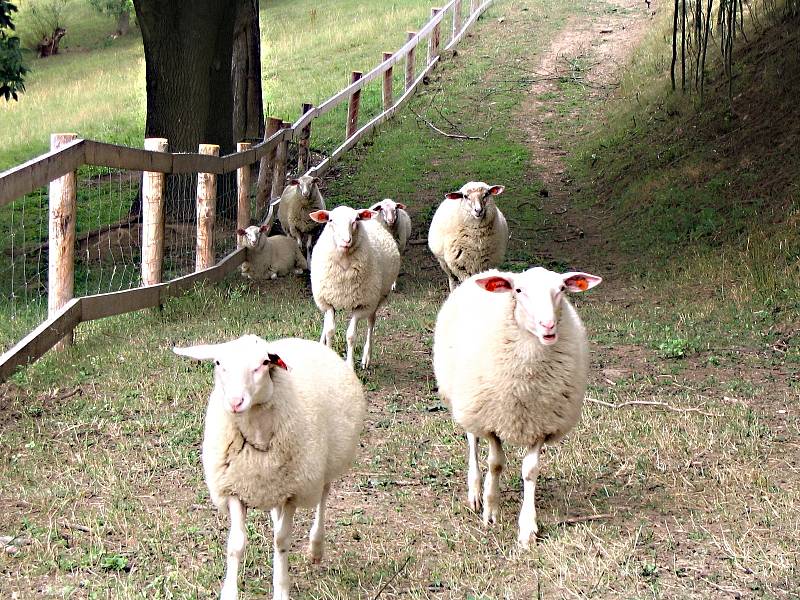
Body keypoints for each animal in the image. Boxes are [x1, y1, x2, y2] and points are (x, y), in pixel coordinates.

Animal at [175, 336, 366, 600]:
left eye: (264, 363)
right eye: (218, 362)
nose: (235, 402)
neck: (256, 433)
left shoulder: (293, 492)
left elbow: (281, 542)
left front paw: (281, 588)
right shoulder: (234, 489)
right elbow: (236, 544)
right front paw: (230, 592)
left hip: (326, 463)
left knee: (323, 498)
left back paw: (316, 547)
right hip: (276, 483)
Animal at [310, 206, 404, 370]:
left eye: (356, 220)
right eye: (330, 220)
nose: (346, 241)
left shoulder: (361, 305)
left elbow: (351, 336)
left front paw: (350, 365)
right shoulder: (328, 301)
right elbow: (330, 331)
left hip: (376, 299)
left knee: (371, 323)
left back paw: (366, 358)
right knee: (325, 323)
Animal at [434, 264, 604, 548]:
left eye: (561, 289)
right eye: (519, 290)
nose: (548, 325)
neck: (526, 384)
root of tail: (488, 271)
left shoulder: (542, 423)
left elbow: (530, 471)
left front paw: (528, 528)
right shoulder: (491, 419)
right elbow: (495, 463)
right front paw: (491, 510)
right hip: (468, 401)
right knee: (472, 440)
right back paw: (475, 490)